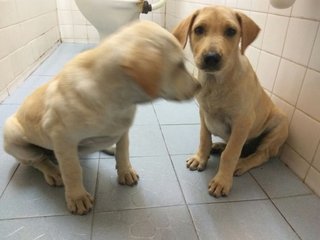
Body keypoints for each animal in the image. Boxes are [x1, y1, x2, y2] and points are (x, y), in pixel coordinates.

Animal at [3, 20, 200, 215]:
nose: (199, 86)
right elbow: (72, 170)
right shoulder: (63, 139)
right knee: (38, 160)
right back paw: (53, 171)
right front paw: (77, 197)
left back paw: (108, 147)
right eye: (179, 65)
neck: (115, 97)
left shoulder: (123, 129)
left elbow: (123, 151)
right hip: (13, 136)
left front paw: (125, 171)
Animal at [174, 6, 288, 197]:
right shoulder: (203, 113)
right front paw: (200, 158)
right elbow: (204, 138)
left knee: (260, 154)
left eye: (231, 31)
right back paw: (218, 146)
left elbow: (231, 153)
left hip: (278, 126)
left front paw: (222, 181)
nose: (211, 57)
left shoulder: (242, 121)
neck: (215, 82)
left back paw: (242, 163)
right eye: (199, 29)